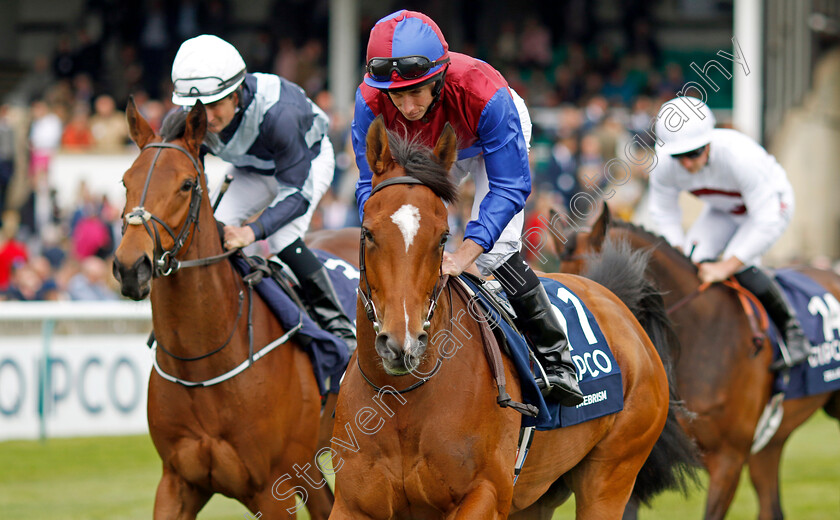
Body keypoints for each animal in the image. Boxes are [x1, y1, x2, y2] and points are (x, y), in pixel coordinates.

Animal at [111, 99, 352, 516]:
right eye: (126, 180)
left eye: (186, 184)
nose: (130, 266)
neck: (202, 365)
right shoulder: (176, 483)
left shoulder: (273, 491)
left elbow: (295, 193)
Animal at [328, 118, 696, 520]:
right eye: (367, 232)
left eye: (442, 237)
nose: (402, 344)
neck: (401, 401)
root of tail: (618, 304)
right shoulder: (351, 504)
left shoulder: (485, 494)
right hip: (538, 494)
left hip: (612, 473)